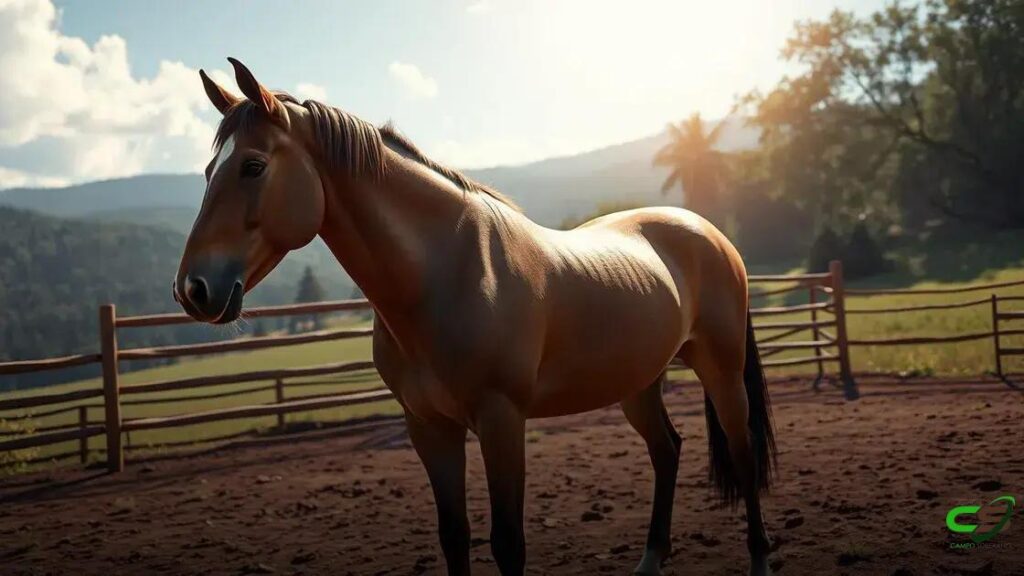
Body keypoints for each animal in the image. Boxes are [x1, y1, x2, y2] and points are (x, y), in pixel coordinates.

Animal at [174, 58, 777, 576]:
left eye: (253, 166)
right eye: (205, 171)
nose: (192, 289)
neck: (447, 273)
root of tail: (706, 230)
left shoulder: (501, 419)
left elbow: (508, 542)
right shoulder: (428, 427)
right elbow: (454, 535)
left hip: (721, 370)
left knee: (743, 456)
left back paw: (759, 560)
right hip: (637, 383)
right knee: (666, 451)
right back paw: (650, 559)